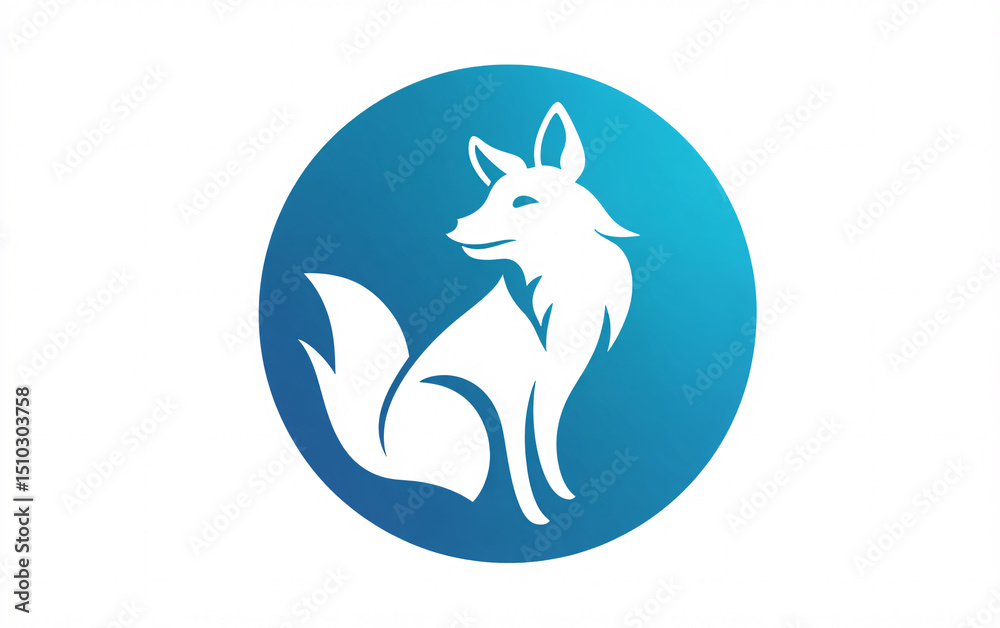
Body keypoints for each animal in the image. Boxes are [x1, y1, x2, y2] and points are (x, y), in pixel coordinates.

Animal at [300, 102, 638, 524]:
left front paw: (564, 498)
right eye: (488, 197)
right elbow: (521, 460)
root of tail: (383, 454)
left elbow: (545, 447)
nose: (456, 227)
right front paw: (535, 516)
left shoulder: (554, 386)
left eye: (523, 202)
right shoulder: (510, 394)